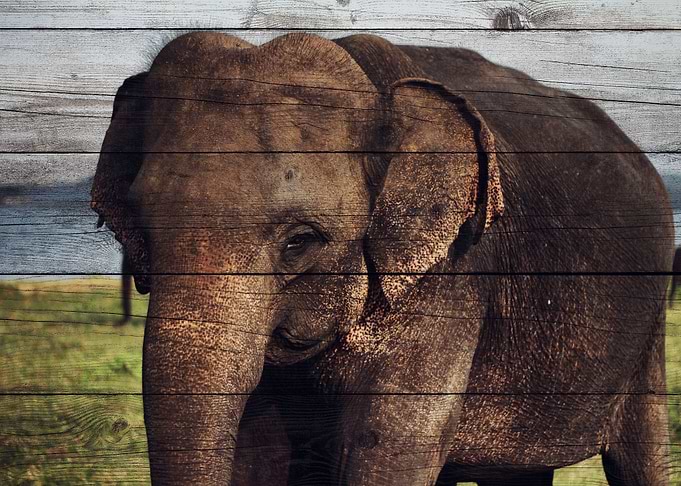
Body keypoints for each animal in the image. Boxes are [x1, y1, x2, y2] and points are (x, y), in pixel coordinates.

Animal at [90, 32, 673, 485]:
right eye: (140, 235)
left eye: (300, 242)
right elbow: (257, 450)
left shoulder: (450, 277)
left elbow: (387, 449)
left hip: (647, 331)